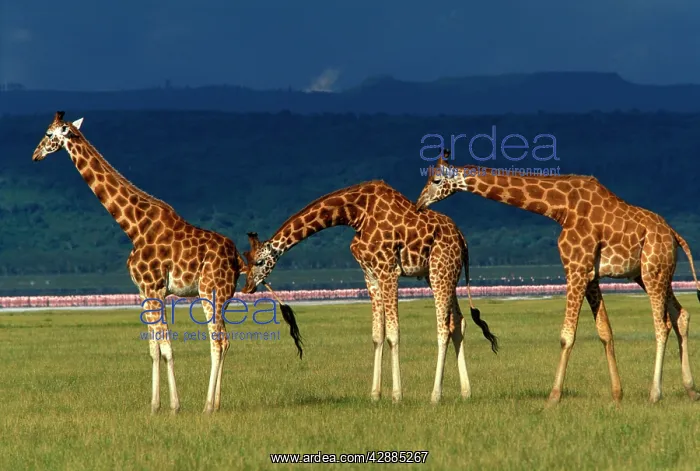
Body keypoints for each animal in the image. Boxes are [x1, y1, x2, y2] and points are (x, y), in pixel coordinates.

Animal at [31, 111, 249, 414]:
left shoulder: (155, 288)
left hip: (210, 291)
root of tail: (237, 258)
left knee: (217, 341)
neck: (134, 227)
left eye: (50, 134)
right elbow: (153, 348)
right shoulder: (143, 290)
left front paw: (175, 406)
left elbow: (167, 346)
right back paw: (215, 405)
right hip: (222, 295)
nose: (35, 154)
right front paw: (154, 406)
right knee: (224, 341)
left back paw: (207, 407)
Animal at [240, 180, 498, 403]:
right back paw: (466, 392)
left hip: (440, 271)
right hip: (441, 274)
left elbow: (393, 333)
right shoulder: (370, 275)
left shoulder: (388, 270)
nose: (248, 287)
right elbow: (377, 335)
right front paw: (375, 395)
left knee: (443, 327)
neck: (355, 214)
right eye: (247, 262)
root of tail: (463, 240)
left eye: (260, 262)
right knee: (459, 322)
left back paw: (435, 396)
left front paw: (397, 396)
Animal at [414, 148, 700, 405]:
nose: (418, 204)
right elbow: (605, 332)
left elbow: (567, 336)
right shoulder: (590, 274)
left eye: (436, 180)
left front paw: (553, 397)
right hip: (649, 273)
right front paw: (617, 395)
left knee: (662, 325)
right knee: (681, 316)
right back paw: (690, 389)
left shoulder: (576, 267)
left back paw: (655, 394)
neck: (559, 208)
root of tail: (674, 235)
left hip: (653, 271)